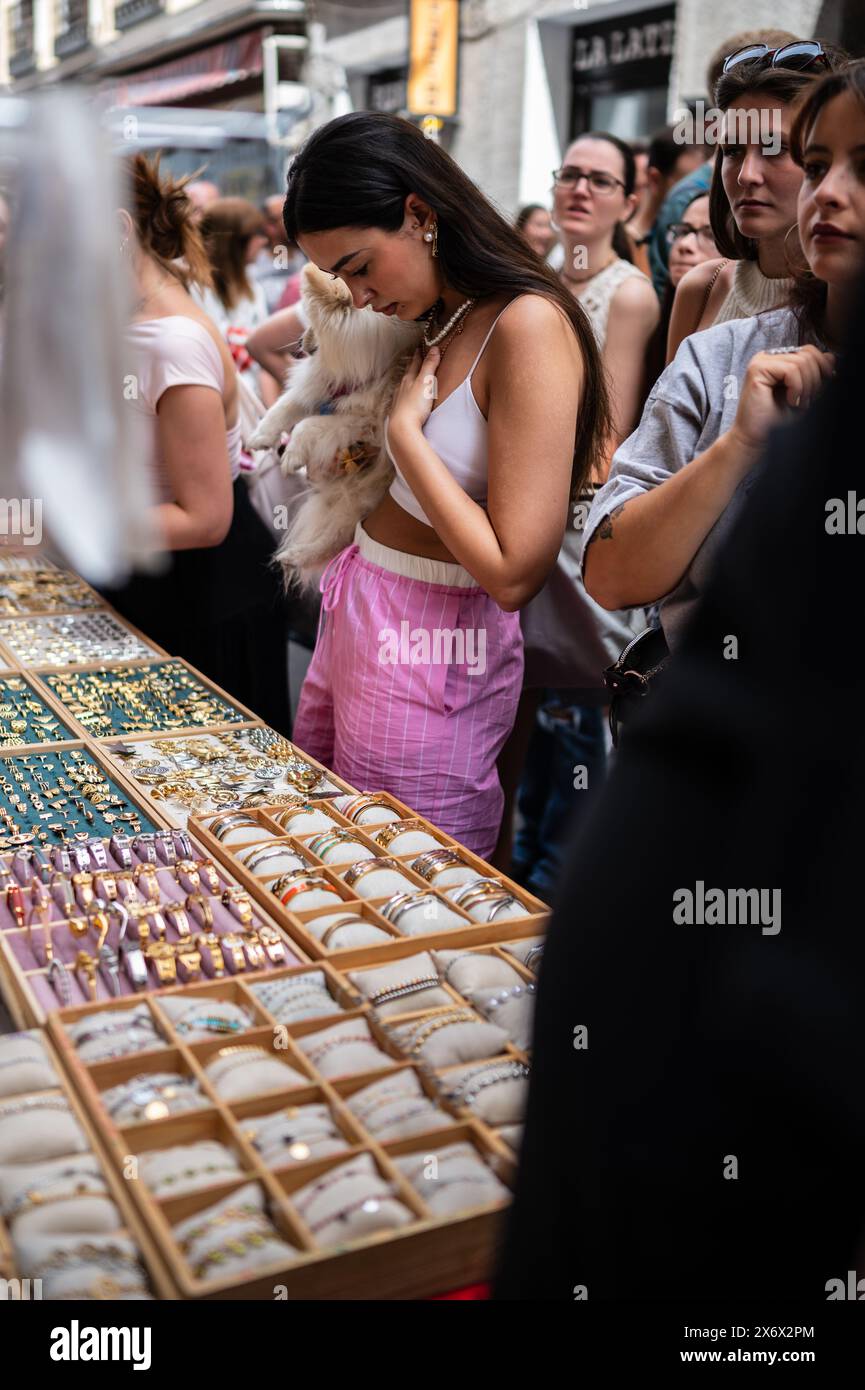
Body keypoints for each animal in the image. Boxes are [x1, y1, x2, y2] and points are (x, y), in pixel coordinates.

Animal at [248, 261, 425, 586]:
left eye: (313, 324)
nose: (301, 343)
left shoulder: (367, 423)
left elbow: (309, 424)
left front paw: (292, 455)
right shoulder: (323, 385)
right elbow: (288, 405)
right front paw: (260, 436)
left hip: (364, 496)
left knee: (341, 534)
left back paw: (297, 556)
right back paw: (293, 557)